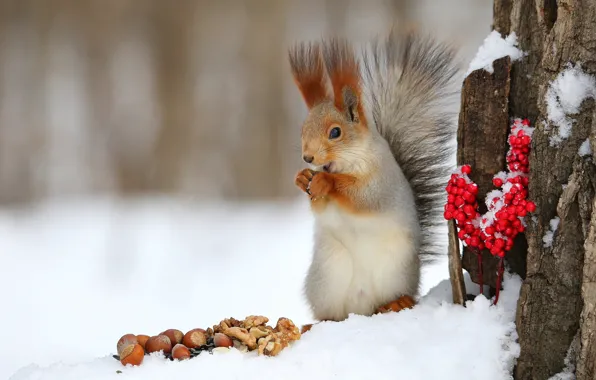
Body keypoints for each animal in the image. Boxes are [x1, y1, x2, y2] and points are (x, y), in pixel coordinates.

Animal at [290, 28, 460, 326]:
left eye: (335, 132)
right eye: (303, 130)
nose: (307, 158)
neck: (344, 165)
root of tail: (361, 309)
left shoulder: (382, 182)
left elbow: (363, 197)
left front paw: (326, 182)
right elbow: (320, 207)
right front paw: (303, 179)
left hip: (395, 272)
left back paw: (397, 302)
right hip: (328, 278)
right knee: (331, 314)